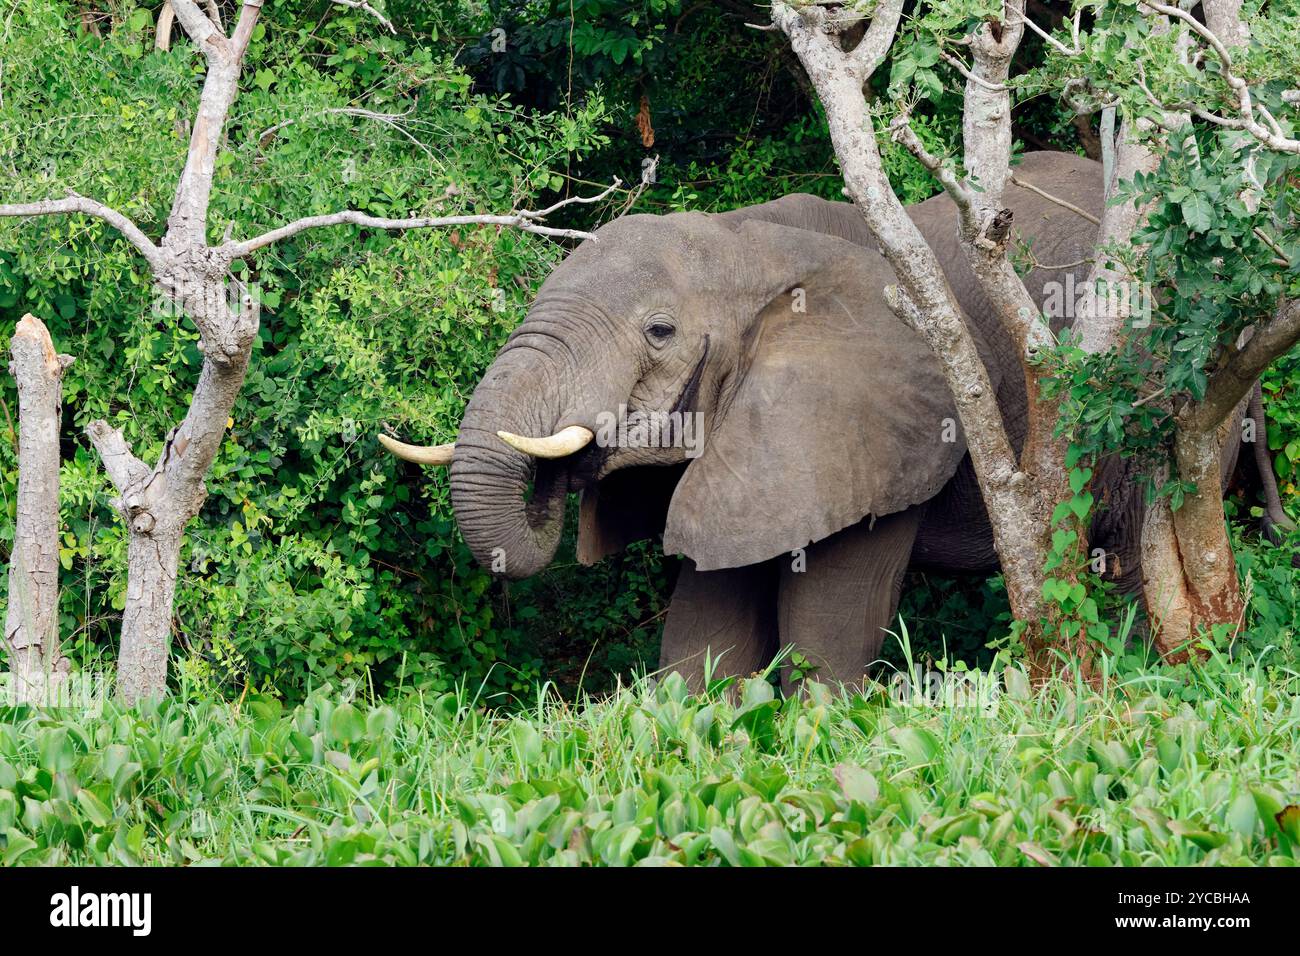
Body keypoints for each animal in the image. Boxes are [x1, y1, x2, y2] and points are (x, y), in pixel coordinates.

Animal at [379, 151, 1294, 686]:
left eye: (660, 333)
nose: (560, 474)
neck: (749, 245)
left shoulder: (878, 426)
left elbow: (828, 632)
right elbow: (705, 628)